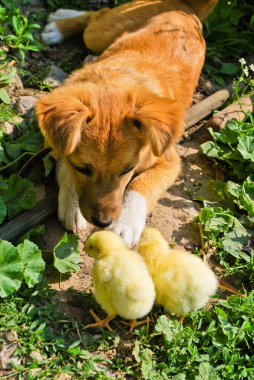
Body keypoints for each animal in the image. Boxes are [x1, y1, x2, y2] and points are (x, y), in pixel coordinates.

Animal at [35, 0, 218, 248]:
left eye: (127, 170)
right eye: (83, 169)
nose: (103, 222)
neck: (114, 83)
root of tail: (184, 6)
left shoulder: (169, 162)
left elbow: (139, 185)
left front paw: (126, 223)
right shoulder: (54, 144)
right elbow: (66, 168)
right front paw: (72, 206)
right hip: (97, 33)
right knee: (97, 15)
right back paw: (60, 24)